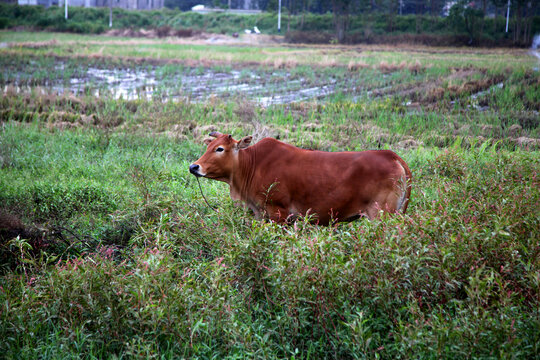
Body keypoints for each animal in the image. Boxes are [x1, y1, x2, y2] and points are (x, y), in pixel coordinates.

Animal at [188, 131, 412, 224]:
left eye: (220, 148)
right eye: (208, 146)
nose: (193, 167)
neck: (251, 165)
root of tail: (391, 156)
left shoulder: (278, 213)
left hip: (382, 215)